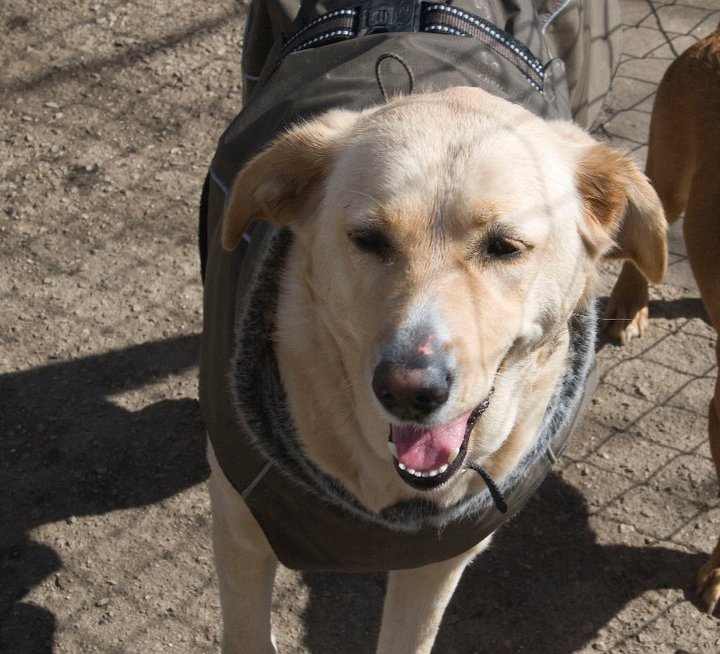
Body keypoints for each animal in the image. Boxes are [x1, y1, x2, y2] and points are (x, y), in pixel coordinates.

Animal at [205, 88, 668, 654]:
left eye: (505, 246)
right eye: (368, 239)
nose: (407, 391)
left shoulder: (438, 563)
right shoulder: (240, 525)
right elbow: (246, 634)